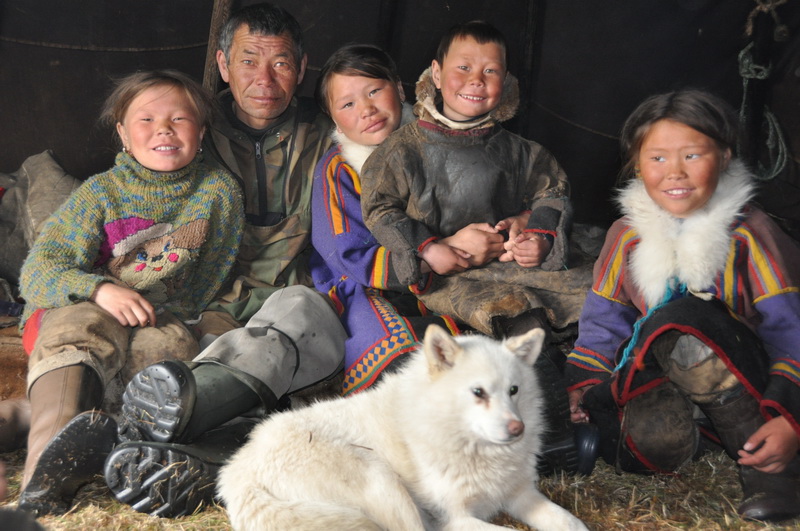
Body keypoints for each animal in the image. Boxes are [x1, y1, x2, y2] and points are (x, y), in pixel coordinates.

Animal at [217, 325, 588, 531]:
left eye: (513, 390)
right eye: (478, 392)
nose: (516, 429)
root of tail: (239, 474)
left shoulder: (521, 494)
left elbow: (572, 522)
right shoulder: (455, 519)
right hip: (382, 482)